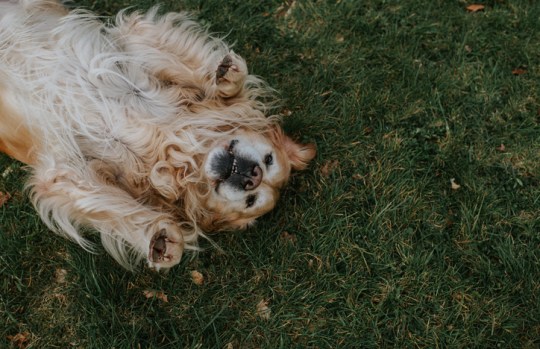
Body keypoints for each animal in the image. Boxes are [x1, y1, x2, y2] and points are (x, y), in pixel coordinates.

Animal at [0, 0, 314, 270]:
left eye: (252, 202)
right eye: (270, 158)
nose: (252, 175)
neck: (168, 142)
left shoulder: (63, 171)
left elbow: (108, 203)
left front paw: (159, 236)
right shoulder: (133, 38)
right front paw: (225, 76)